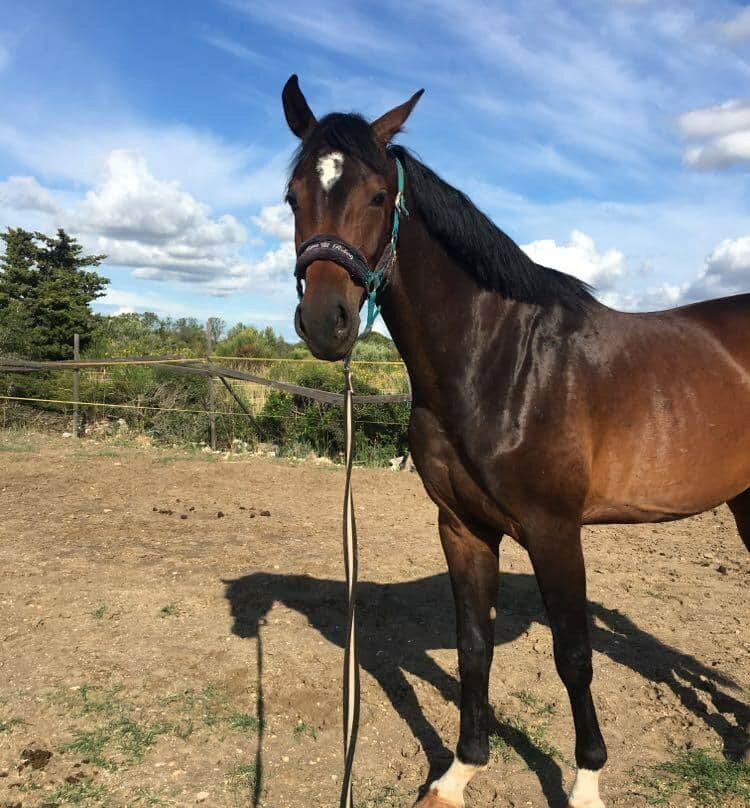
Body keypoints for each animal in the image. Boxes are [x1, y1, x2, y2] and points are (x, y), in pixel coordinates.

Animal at [280, 72, 750, 804]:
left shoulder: (555, 532)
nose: (326, 322)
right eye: (293, 198)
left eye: (378, 195)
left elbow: (573, 655)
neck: (501, 360)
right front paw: (459, 771)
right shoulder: (463, 527)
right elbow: (474, 646)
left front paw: (586, 782)